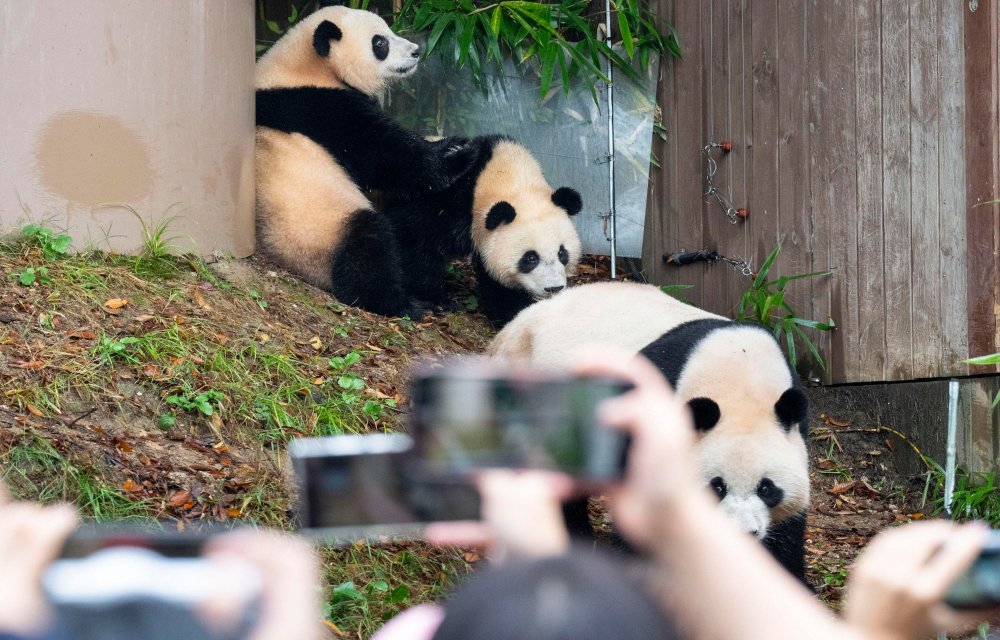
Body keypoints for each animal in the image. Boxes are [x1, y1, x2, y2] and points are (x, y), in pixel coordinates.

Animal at [256, 1, 478, 318]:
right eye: (380, 43)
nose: (416, 52)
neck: (305, 66)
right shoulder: (319, 106)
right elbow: (386, 155)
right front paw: (458, 154)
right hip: (318, 230)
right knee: (369, 246)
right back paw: (403, 302)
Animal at [382, 133, 584, 328]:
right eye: (530, 258)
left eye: (562, 253)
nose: (553, 288)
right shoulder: (446, 201)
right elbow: (413, 238)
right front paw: (435, 301)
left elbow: (497, 282)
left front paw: (514, 313)